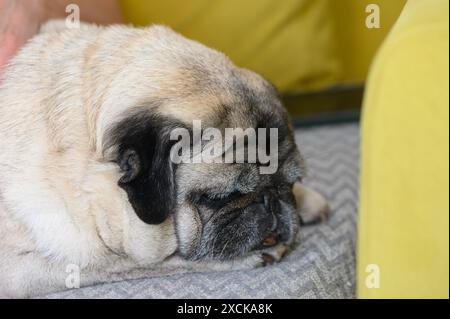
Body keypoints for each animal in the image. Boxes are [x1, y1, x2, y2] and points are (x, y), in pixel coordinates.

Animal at [0, 21, 326, 298]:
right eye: (219, 197)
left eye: (290, 184)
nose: (270, 200)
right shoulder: (25, 269)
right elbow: (148, 264)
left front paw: (306, 199)